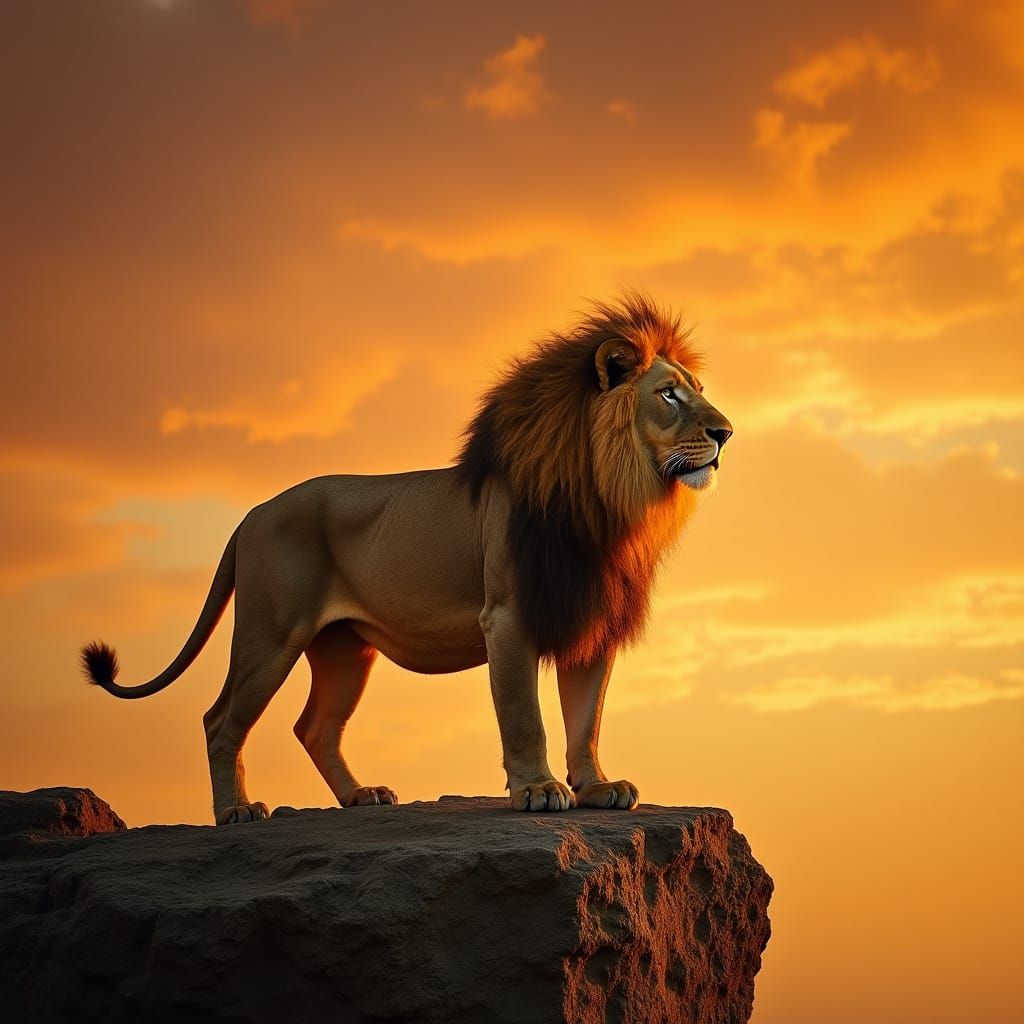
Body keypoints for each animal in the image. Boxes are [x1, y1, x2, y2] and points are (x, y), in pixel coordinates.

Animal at [82, 292, 732, 824]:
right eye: (668, 394)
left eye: (698, 391)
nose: (726, 433)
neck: (608, 498)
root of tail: (251, 514)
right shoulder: (508, 616)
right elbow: (526, 715)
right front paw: (540, 790)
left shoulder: (589, 618)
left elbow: (587, 718)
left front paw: (597, 788)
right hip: (271, 634)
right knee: (220, 720)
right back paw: (236, 811)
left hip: (346, 649)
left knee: (314, 726)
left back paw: (360, 797)